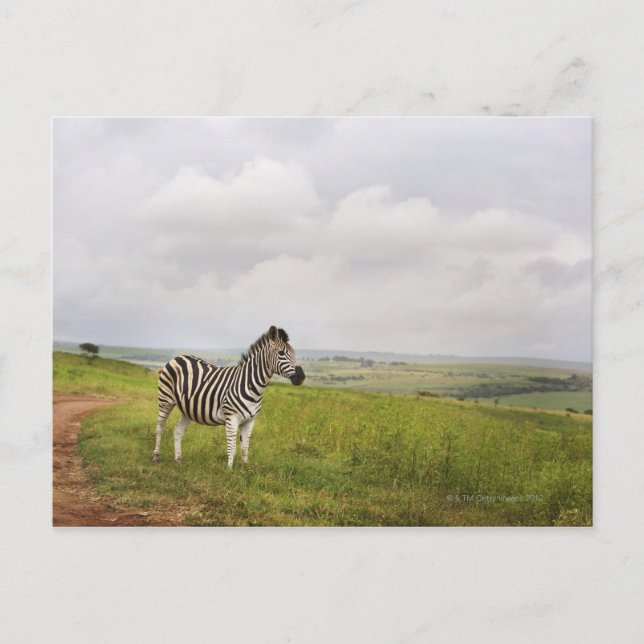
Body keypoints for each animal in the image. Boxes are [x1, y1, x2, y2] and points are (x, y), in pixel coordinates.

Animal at [152, 326, 305, 468]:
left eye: (294, 353)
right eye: (281, 353)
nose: (301, 377)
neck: (251, 385)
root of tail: (178, 357)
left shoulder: (250, 421)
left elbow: (245, 447)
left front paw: (246, 469)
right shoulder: (231, 418)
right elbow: (232, 447)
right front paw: (229, 471)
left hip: (188, 408)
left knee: (177, 430)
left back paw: (178, 460)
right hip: (165, 400)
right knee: (160, 427)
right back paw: (156, 457)